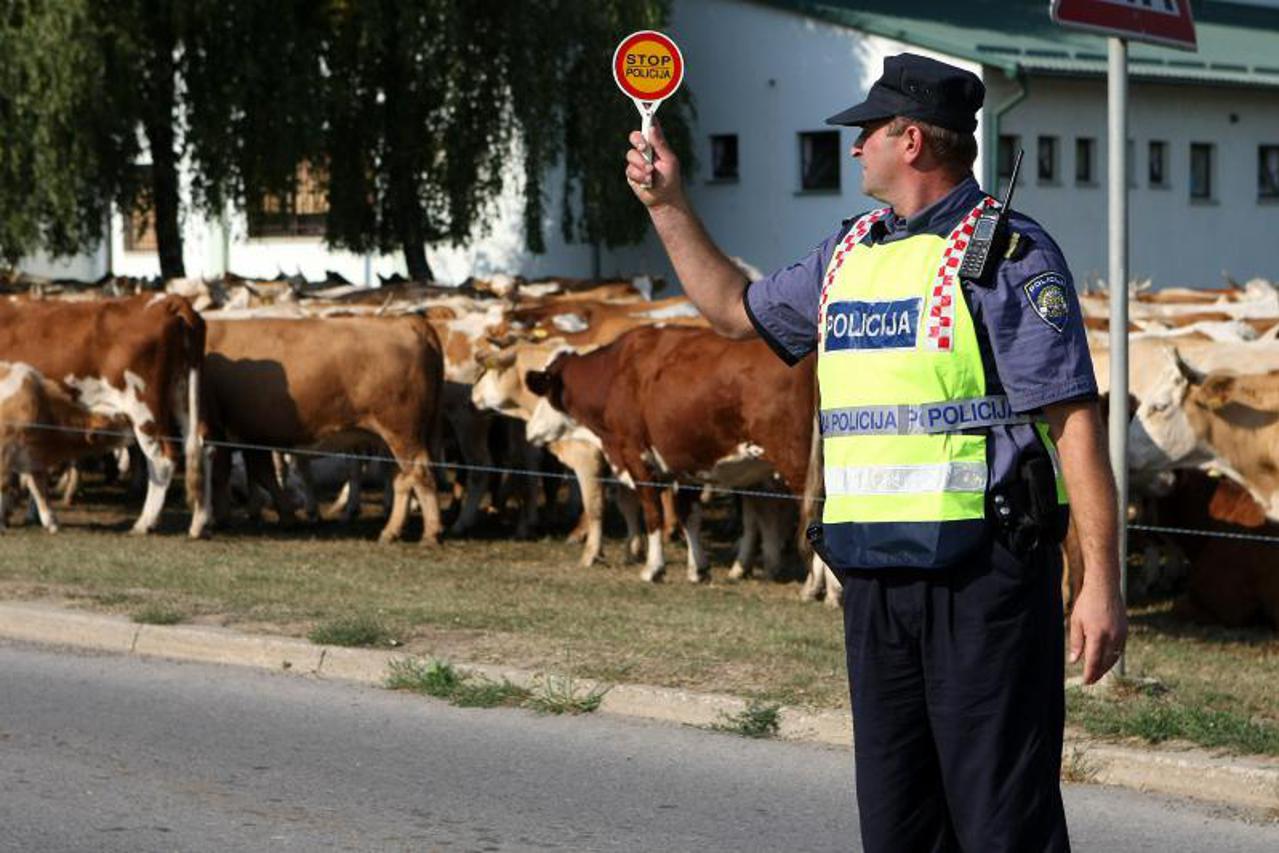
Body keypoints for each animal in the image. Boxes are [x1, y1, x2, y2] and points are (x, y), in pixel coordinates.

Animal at [0, 294, 209, 534]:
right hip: (183, 397)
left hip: (145, 410)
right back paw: (199, 522)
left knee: (162, 459)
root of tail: (168, 301)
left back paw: (144, 522)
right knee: (199, 447)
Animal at [204, 317, 445, 544]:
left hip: (403, 432)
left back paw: (430, 532)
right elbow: (260, 474)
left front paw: (220, 519)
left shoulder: (221, 431)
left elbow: (224, 475)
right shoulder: (251, 435)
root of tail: (406, 321)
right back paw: (392, 530)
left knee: (420, 473)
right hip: (395, 438)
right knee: (403, 479)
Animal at [526, 323, 808, 583]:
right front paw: (698, 569)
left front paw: (654, 568)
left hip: (796, 464)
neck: (616, 373)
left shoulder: (637, 458)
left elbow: (653, 514)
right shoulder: (686, 464)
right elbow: (689, 515)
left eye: (545, 394)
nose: (530, 430)